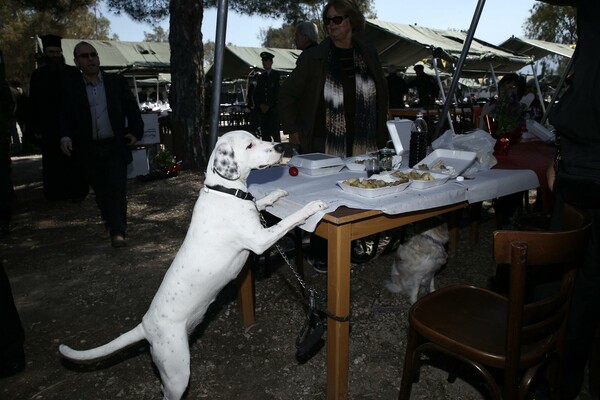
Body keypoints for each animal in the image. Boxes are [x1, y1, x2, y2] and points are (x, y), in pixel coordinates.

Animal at [58, 131, 328, 400]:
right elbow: (290, 219)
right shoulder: (260, 240)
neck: (225, 191)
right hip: (177, 374)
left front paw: (277, 194)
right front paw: (313, 206)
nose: (282, 147)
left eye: (258, 138)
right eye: (250, 145)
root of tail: (145, 327)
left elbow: (260, 201)